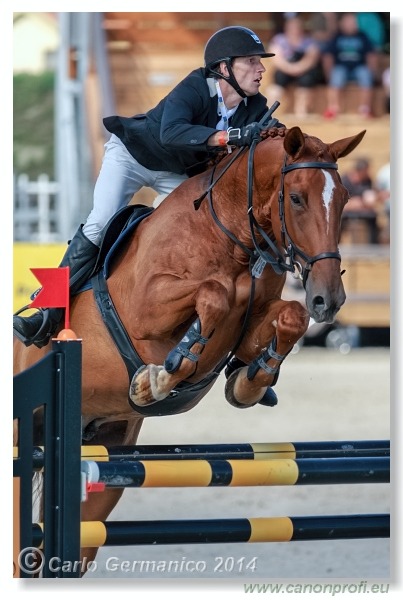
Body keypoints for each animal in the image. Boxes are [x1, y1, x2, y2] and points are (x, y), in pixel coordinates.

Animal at [12, 125, 366, 568]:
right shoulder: (146, 308)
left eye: (345, 199)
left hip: (105, 456)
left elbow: (289, 317)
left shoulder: (252, 321)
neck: (233, 238)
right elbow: (213, 295)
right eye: (297, 198)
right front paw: (154, 382)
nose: (328, 299)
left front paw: (249, 383)